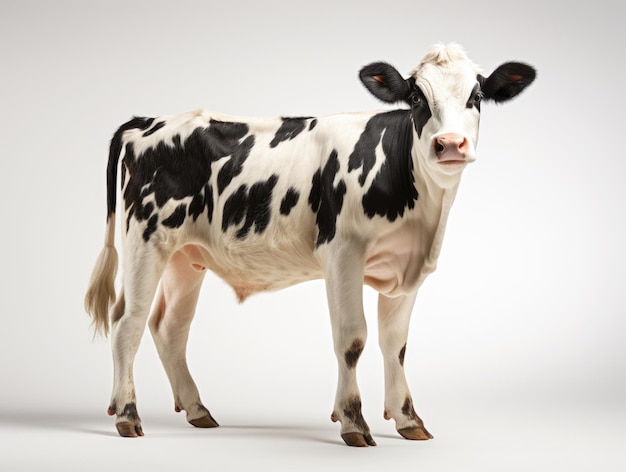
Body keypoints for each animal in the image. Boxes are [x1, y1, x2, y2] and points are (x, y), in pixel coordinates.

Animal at [84, 43, 532, 446]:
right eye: (418, 97)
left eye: (476, 97)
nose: (450, 144)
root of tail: (148, 121)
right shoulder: (343, 254)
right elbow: (352, 339)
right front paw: (353, 421)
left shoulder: (407, 267)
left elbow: (396, 344)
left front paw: (408, 419)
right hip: (147, 238)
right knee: (128, 322)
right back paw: (127, 415)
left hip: (185, 256)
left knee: (170, 326)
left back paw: (197, 410)